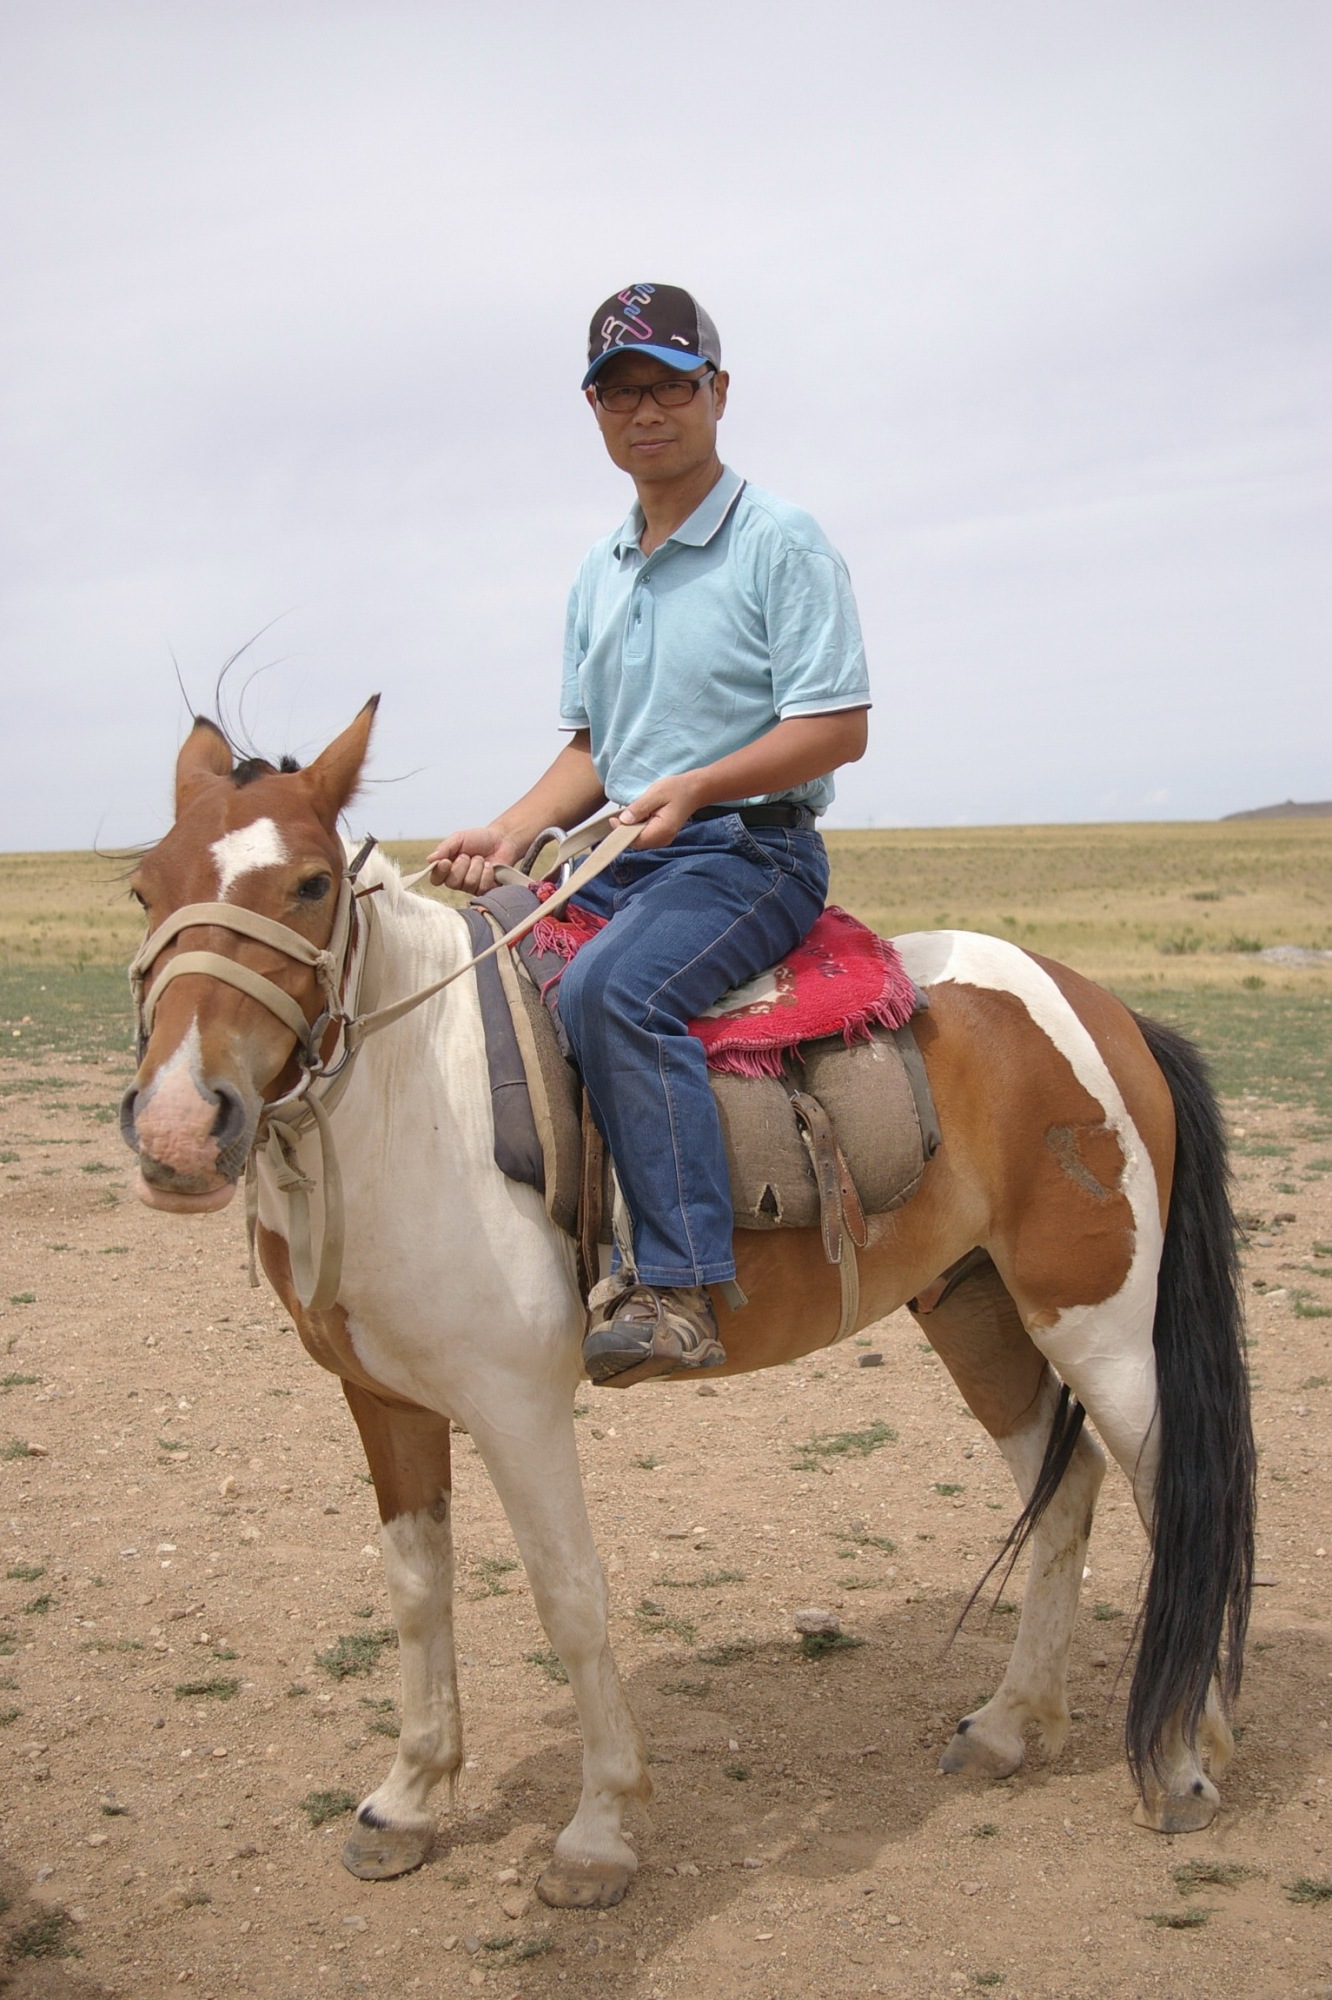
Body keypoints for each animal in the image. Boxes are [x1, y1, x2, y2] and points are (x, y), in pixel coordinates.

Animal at [119, 704, 1248, 1904]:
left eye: (313, 884)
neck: (417, 1093)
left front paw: (600, 1827)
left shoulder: (516, 1404)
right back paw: (1010, 1723)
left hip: (1099, 1320)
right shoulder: (385, 1401)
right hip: (977, 1308)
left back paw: (1183, 1757)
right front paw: (408, 1798)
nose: (181, 1124)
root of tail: (1104, 1006)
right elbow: (417, 1588)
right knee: (1063, 1487)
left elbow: (569, 1595)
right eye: (144, 887)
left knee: (1172, 1493)